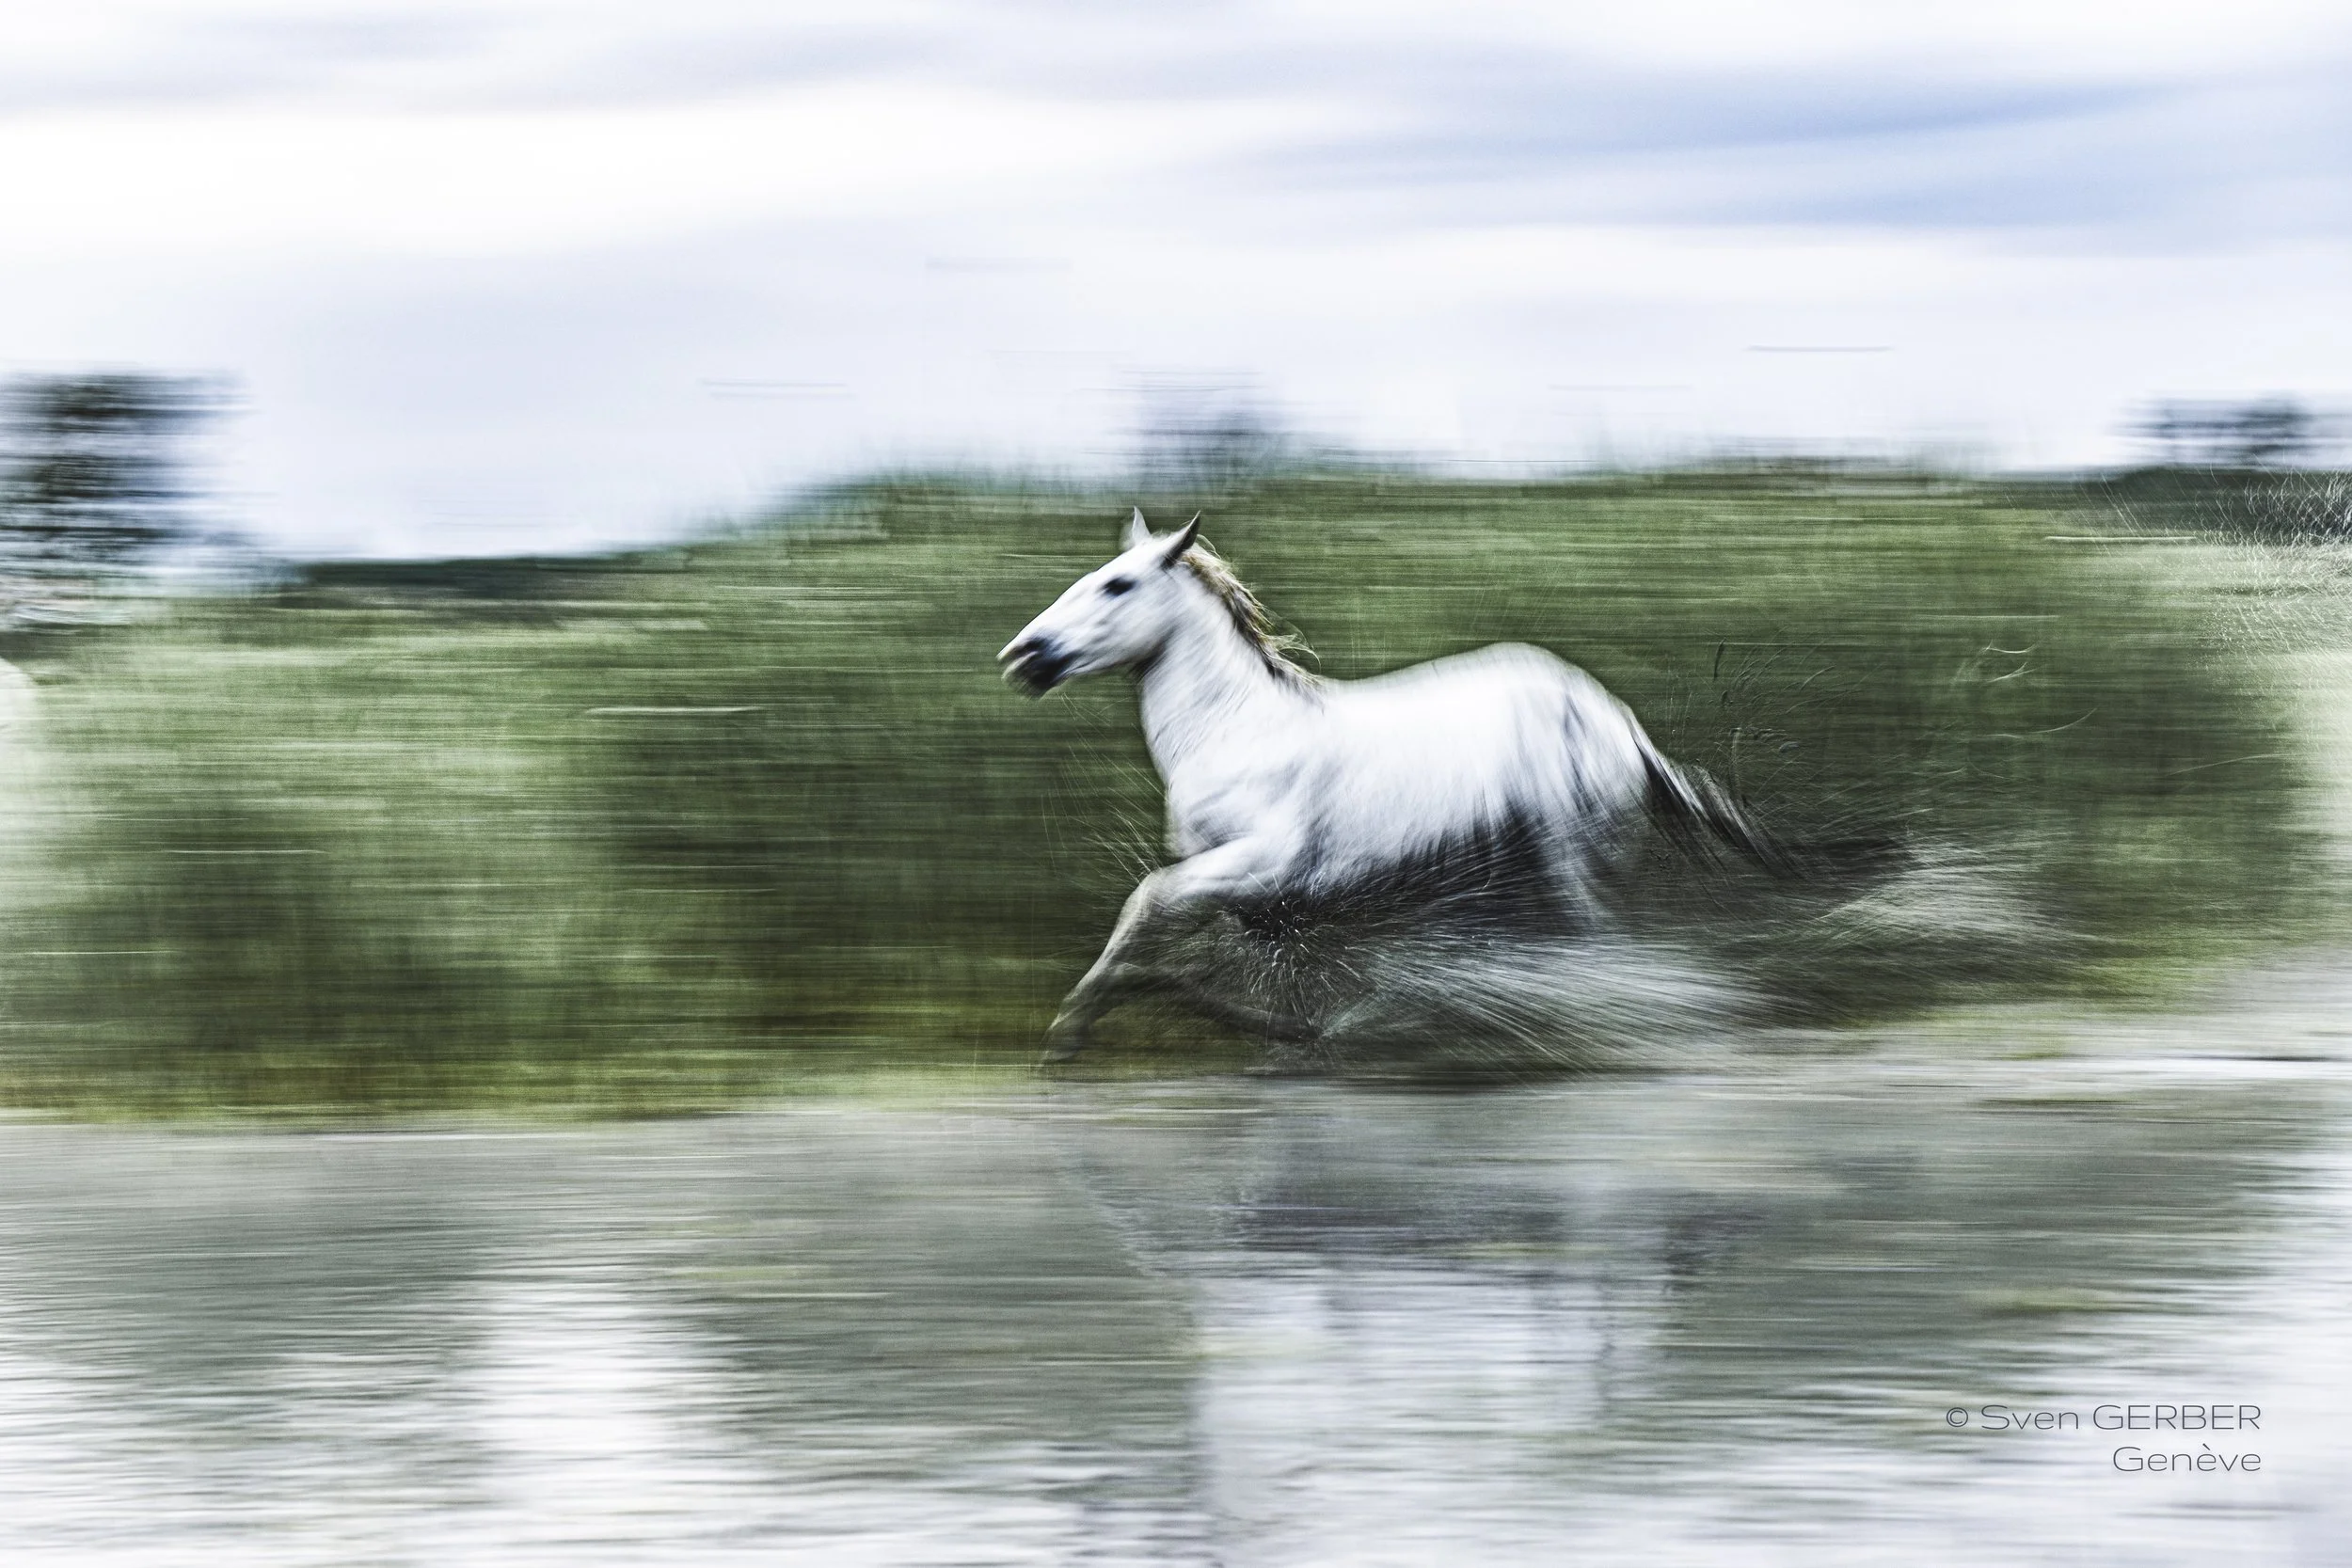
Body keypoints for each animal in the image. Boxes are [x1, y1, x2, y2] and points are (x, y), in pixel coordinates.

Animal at [999, 510, 1785, 1061]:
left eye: (1117, 583)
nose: (1023, 655)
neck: (1236, 729)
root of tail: (1615, 718)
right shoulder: (1253, 897)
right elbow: (1224, 968)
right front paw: (1296, 1029)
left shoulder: (1264, 862)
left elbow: (1147, 902)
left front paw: (1068, 1029)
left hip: (1573, 855)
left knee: (1598, 941)